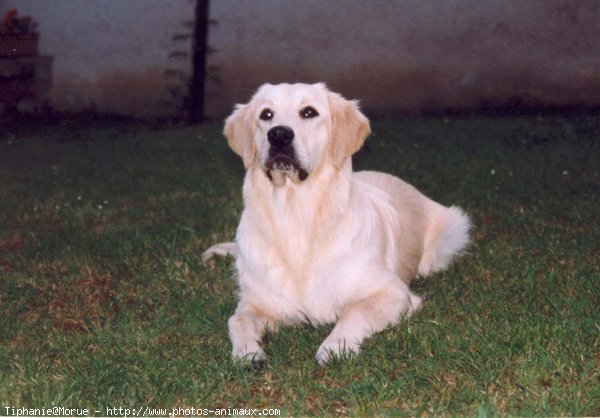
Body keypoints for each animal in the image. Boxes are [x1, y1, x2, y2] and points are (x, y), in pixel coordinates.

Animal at [204, 82, 472, 366]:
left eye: (309, 112)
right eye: (266, 115)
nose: (278, 135)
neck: (295, 217)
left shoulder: (394, 292)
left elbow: (353, 312)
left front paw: (334, 347)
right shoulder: (258, 302)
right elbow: (237, 319)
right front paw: (248, 352)